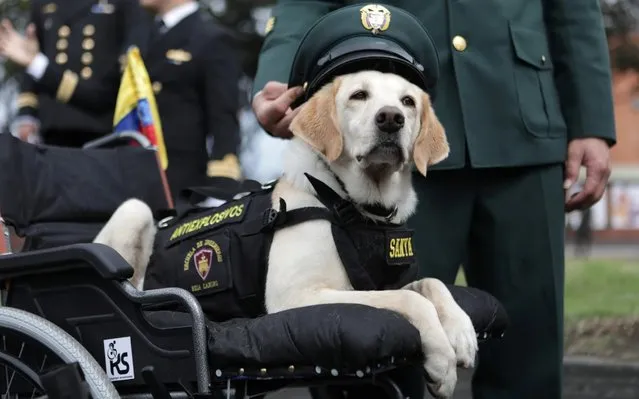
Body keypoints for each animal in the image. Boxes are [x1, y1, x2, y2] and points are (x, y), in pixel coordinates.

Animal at [94, 70, 476, 398]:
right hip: (134, 210)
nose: (391, 118)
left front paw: (461, 331)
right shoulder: (299, 298)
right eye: (358, 95)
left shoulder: (386, 283)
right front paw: (441, 361)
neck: (352, 204)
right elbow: (412, 300)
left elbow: (431, 285)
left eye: (408, 101)